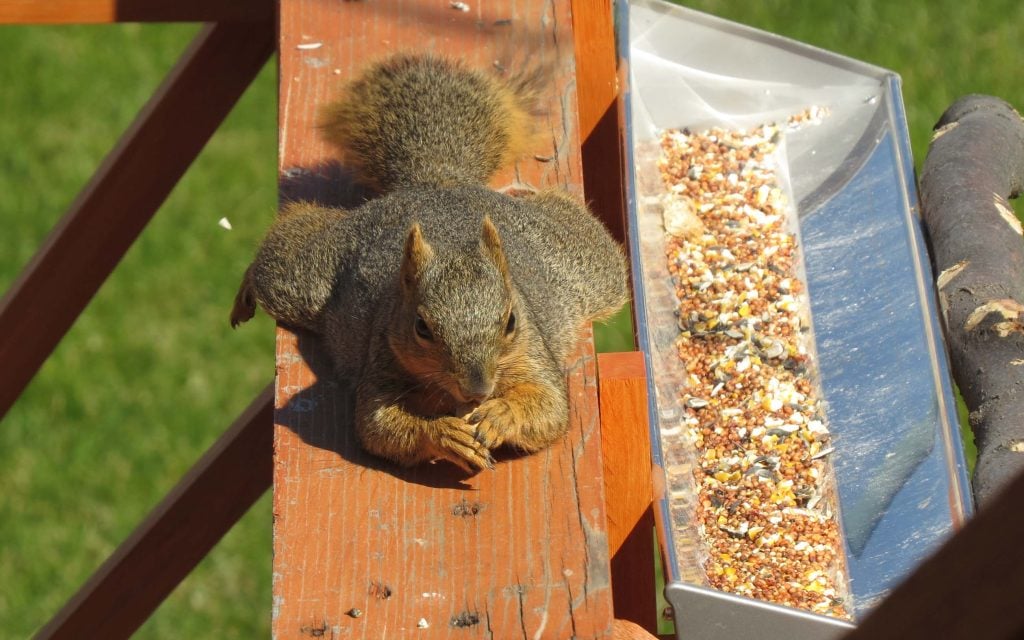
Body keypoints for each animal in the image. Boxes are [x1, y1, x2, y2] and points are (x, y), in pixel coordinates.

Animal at [231, 53, 628, 473]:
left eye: (511, 322)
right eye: (421, 327)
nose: (477, 389)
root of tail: (437, 183)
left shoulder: (533, 352)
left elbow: (549, 408)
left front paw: (501, 416)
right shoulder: (382, 359)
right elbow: (380, 426)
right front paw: (443, 434)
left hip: (584, 264)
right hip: (308, 274)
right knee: (284, 246)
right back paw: (245, 291)